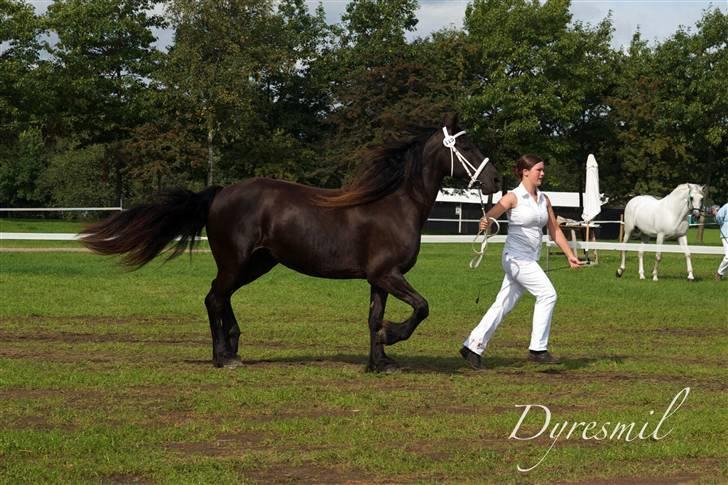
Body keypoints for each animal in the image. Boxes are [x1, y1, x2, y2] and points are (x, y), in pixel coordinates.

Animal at [81, 114, 500, 370]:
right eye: (467, 147)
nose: (494, 180)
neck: (395, 204)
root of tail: (219, 193)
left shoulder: (379, 279)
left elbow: (373, 318)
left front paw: (380, 362)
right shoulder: (389, 274)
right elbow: (421, 307)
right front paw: (393, 337)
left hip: (257, 263)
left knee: (222, 297)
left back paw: (233, 346)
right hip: (236, 261)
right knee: (214, 298)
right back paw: (223, 357)